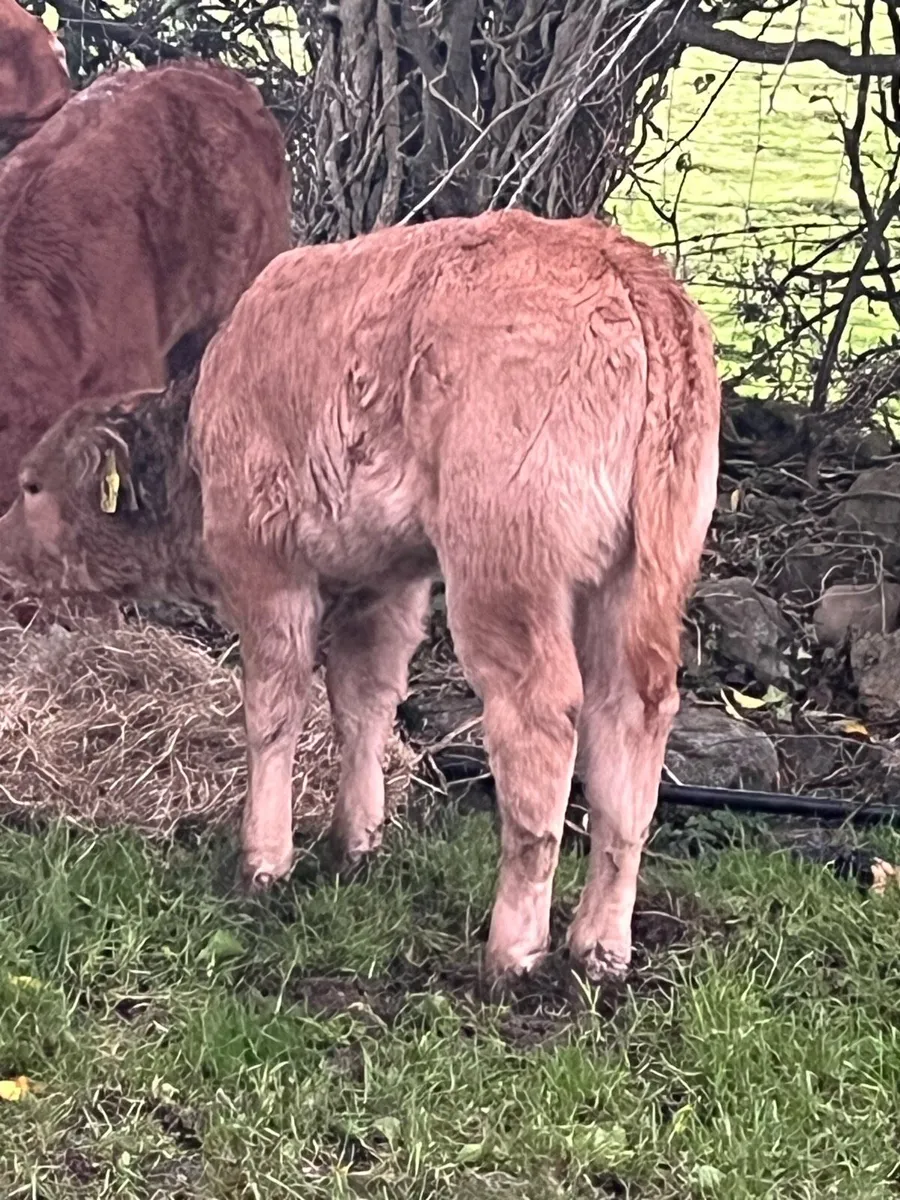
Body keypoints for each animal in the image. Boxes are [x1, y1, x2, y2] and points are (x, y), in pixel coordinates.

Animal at [0, 209, 721, 982]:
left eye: (32, 484)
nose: (4, 549)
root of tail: (621, 265)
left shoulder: (267, 567)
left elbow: (275, 706)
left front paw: (263, 859)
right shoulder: (385, 579)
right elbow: (363, 700)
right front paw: (356, 841)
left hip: (504, 573)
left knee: (540, 721)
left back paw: (513, 949)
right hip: (639, 580)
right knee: (631, 721)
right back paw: (601, 944)